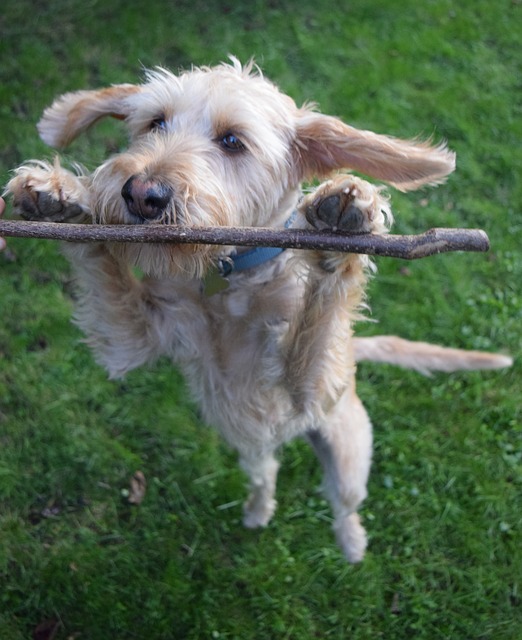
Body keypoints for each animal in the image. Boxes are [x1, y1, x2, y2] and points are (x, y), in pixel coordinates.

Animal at [5, 58, 508, 560]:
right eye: (155, 123)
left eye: (232, 140)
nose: (142, 193)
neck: (228, 279)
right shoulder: (132, 337)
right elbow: (100, 265)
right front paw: (59, 199)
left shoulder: (305, 391)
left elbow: (324, 309)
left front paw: (342, 226)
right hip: (249, 446)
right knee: (266, 474)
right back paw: (257, 510)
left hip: (347, 450)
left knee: (344, 504)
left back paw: (351, 543)